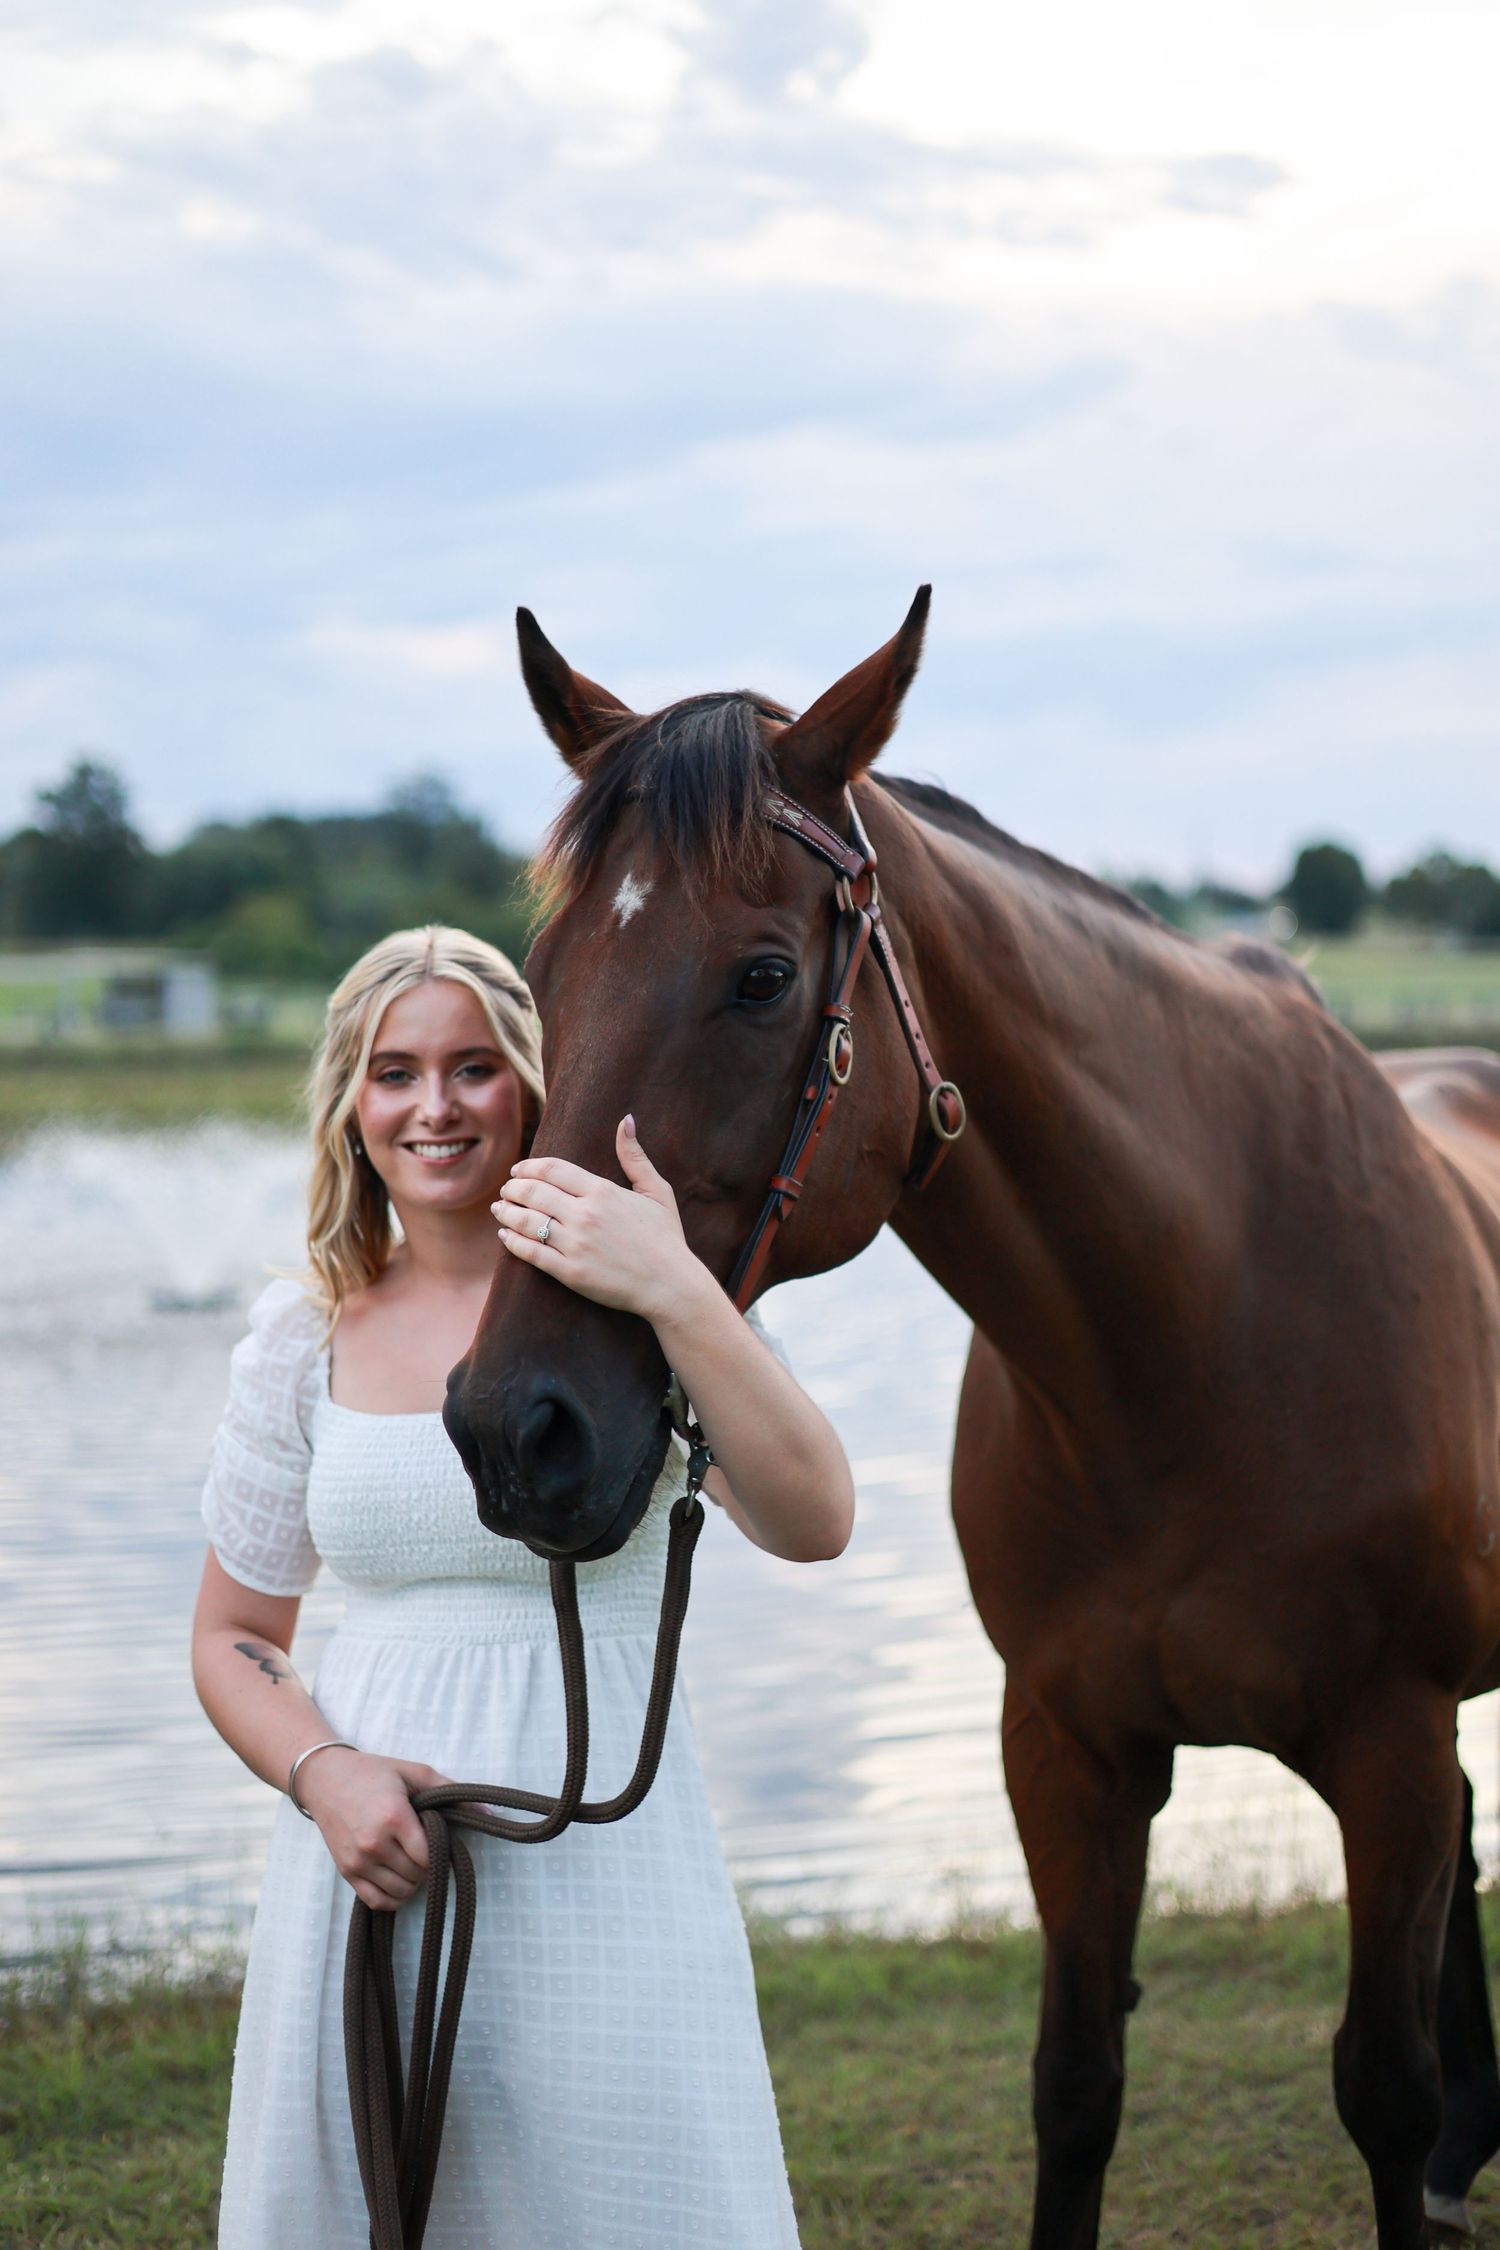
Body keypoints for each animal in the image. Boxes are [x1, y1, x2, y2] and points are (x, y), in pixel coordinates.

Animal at [444, 589, 1500, 2249]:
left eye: (760, 976)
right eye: (540, 971)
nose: (513, 1427)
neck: (1194, 1344)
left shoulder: (1386, 1740)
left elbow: (1377, 2088)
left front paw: (1421, 2126)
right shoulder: (1063, 1752)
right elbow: (1074, 2085)